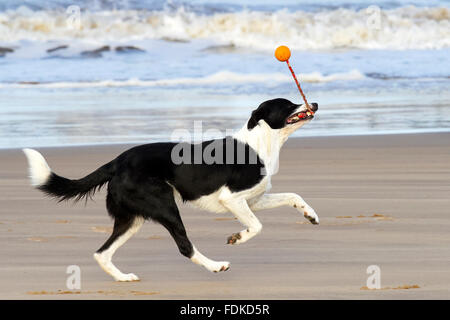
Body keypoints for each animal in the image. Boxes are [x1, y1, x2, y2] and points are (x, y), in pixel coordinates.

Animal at [23, 99, 320, 282]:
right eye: (288, 103)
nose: (315, 103)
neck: (259, 142)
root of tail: (117, 161)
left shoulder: (254, 199)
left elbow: (293, 197)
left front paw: (311, 215)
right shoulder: (232, 199)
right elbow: (256, 226)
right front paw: (237, 237)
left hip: (132, 219)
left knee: (102, 253)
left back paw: (123, 278)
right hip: (166, 206)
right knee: (185, 246)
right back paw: (216, 266)